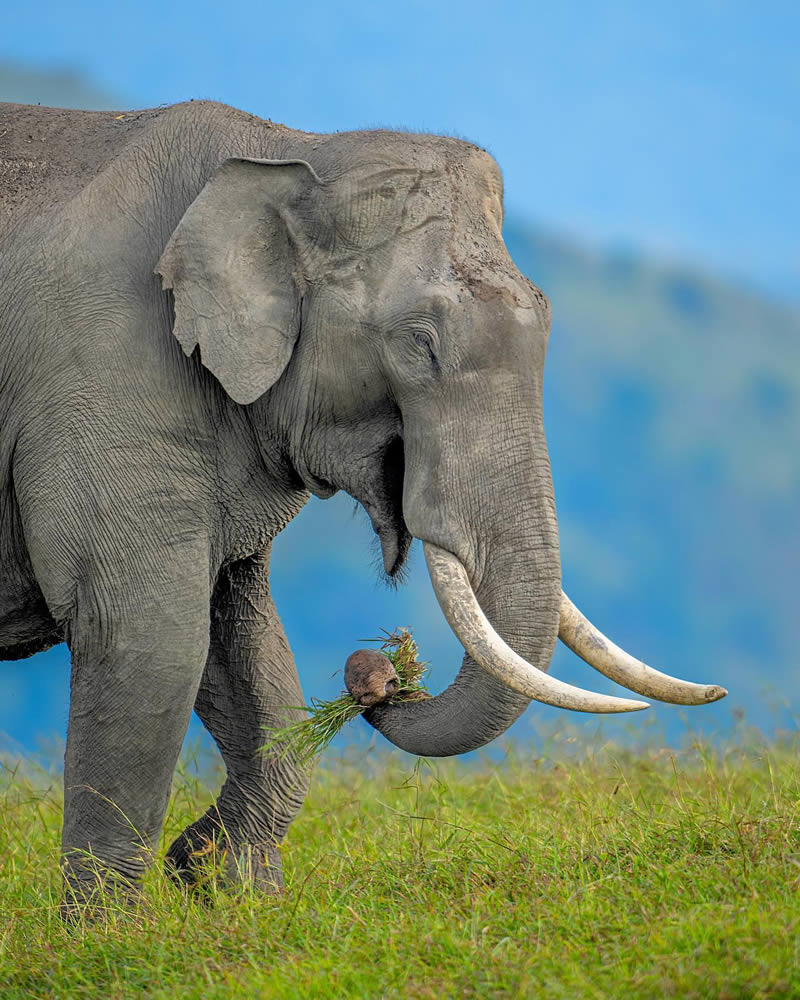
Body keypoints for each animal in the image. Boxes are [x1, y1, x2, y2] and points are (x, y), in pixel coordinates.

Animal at [0, 99, 724, 908]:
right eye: (422, 346)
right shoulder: (106, 375)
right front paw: (116, 931)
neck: (291, 151)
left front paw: (225, 888)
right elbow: (148, 638)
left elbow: (242, 640)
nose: (382, 673)